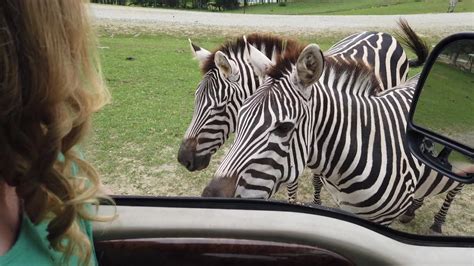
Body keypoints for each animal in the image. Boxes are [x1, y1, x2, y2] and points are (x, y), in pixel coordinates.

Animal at [205, 32, 462, 233]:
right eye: (240, 117)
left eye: (283, 128)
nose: (210, 199)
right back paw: (412, 210)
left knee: (454, 189)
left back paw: (437, 223)